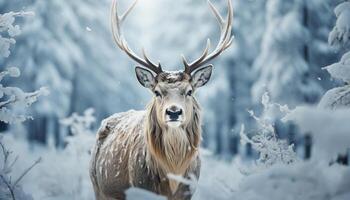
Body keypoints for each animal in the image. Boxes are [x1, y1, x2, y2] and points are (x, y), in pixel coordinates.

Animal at [89, 0, 234, 199]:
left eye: (189, 91)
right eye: (157, 92)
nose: (173, 111)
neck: (172, 179)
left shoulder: (189, 191)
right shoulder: (140, 187)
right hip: (98, 186)